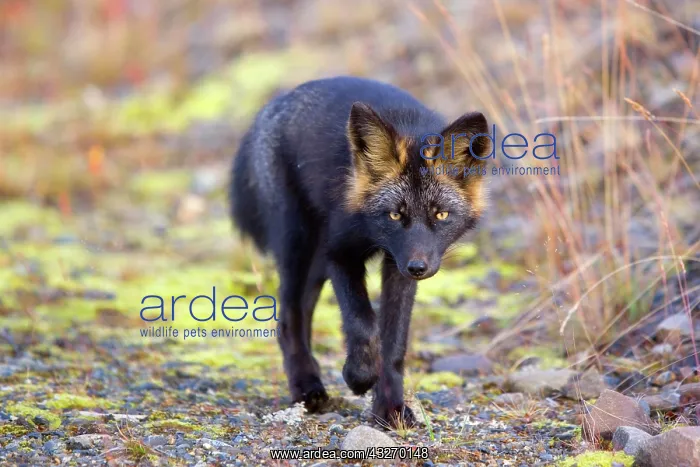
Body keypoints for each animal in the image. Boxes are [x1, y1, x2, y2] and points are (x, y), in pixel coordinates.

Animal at [230, 76, 490, 427]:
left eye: (440, 215)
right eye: (394, 215)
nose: (418, 268)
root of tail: (277, 102)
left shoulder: (396, 265)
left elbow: (394, 343)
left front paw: (390, 408)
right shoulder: (340, 252)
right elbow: (363, 324)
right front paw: (359, 376)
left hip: (317, 263)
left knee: (303, 311)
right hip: (298, 243)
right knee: (288, 318)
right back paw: (306, 388)